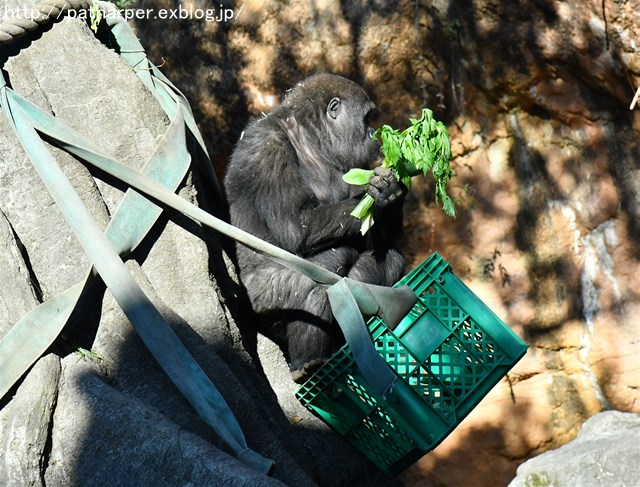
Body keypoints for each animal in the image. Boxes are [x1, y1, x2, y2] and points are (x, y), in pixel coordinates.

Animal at [225, 73, 404, 386]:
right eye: (367, 117)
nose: (373, 133)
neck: (311, 138)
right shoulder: (266, 147)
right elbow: (296, 226)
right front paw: (382, 195)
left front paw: (392, 191)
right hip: (258, 301)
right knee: (319, 278)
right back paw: (306, 364)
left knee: (386, 261)